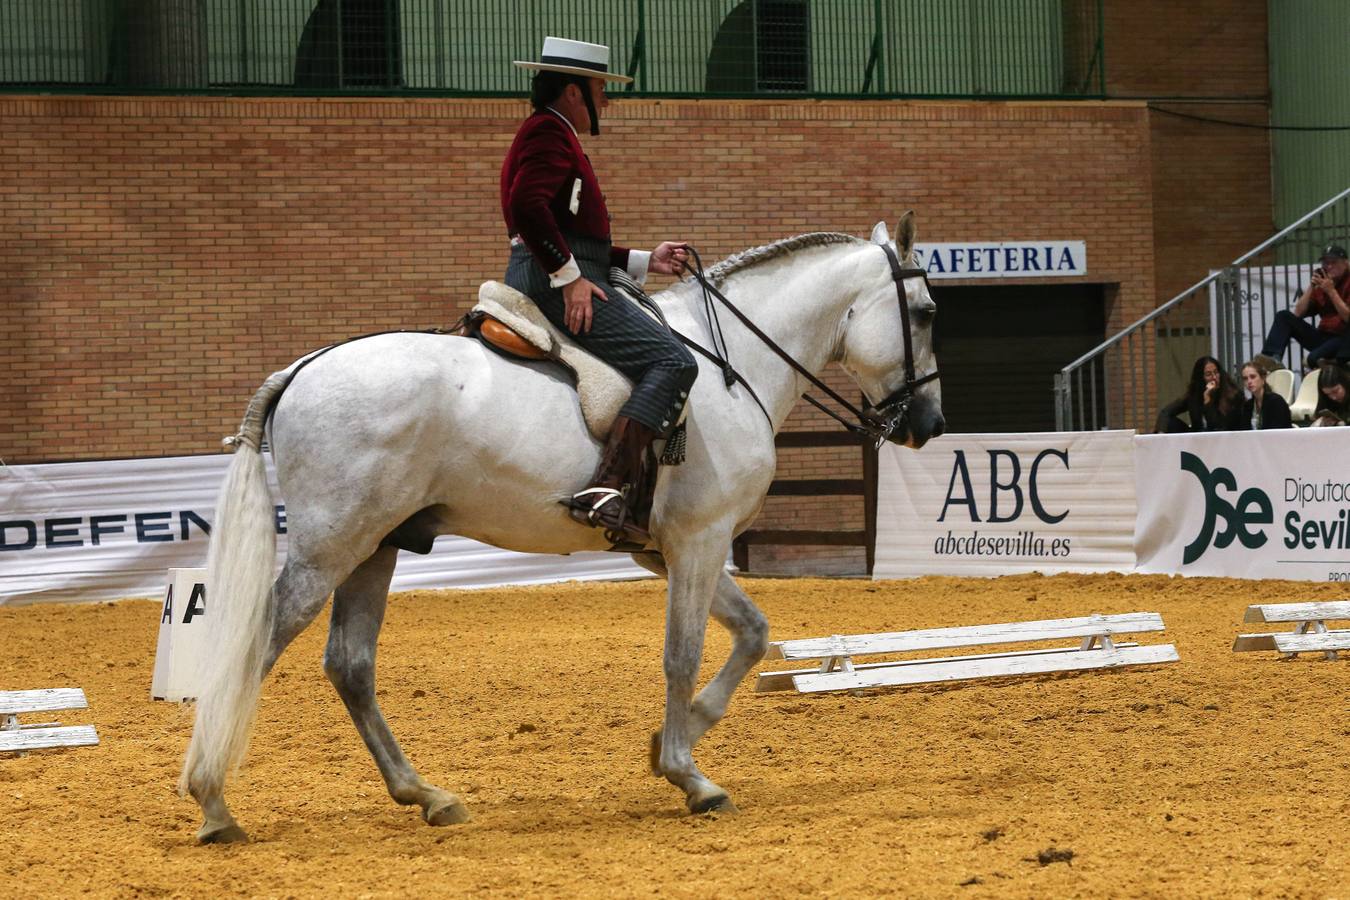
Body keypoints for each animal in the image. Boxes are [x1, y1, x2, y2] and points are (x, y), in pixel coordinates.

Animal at [179, 214, 945, 841]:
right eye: (927, 312)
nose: (930, 425)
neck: (733, 366)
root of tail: (301, 368)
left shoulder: (667, 550)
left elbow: (753, 634)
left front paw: (671, 743)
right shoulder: (698, 541)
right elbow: (682, 653)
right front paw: (689, 774)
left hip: (376, 547)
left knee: (351, 665)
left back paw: (426, 795)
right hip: (330, 549)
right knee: (258, 646)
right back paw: (213, 801)